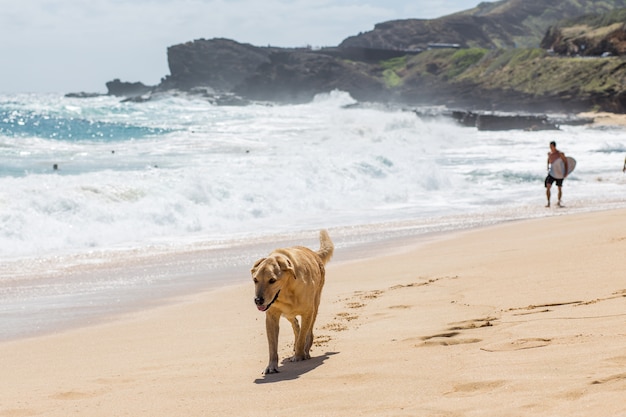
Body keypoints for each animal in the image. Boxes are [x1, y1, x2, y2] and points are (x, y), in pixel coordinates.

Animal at [251, 229, 334, 376]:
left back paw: (305, 349)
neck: (286, 290)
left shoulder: (307, 312)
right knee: (295, 324)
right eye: (255, 280)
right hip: (287, 313)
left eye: (272, 280)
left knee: (308, 331)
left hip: (315, 305)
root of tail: (314, 253)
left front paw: (299, 355)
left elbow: (302, 337)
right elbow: (272, 346)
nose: (258, 300)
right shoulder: (271, 317)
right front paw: (271, 366)